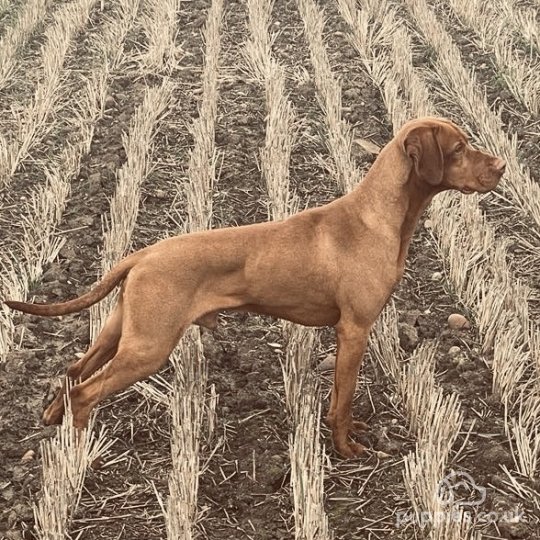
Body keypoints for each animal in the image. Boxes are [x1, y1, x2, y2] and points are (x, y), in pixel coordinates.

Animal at [4, 117, 504, 456]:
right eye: (459, 148)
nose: (501, 166)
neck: (379, 216)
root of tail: (141, 255)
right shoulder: (355, 330)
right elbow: (343, 399)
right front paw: (345, 449)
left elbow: (338, 399)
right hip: (149, 347)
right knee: (85, 391)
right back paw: (78, 453)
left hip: (122, 331)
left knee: (73, 371)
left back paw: (54, 421)